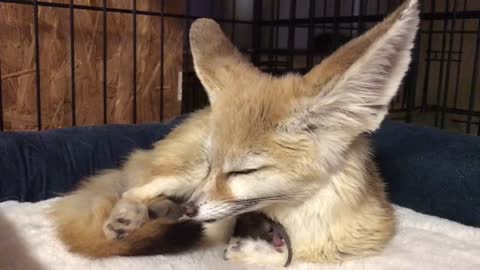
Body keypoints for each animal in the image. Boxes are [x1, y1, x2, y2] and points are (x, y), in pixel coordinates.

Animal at [51, 0, 420, 266]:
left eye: (244, 171)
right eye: (212, 165)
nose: (190, 210)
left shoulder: (361, 243)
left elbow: (287, 257)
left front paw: (253, 251)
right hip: (180, 174)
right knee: (133, 190)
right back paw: (130, 216)